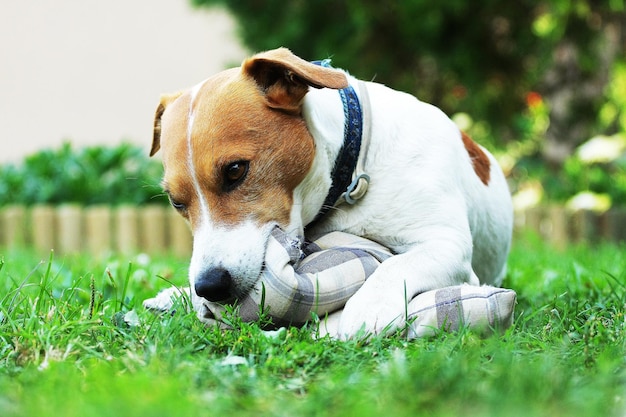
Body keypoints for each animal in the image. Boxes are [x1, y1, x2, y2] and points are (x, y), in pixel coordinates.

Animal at [149, 47, 510, 338]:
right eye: (176, 202)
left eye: (236, 170)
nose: (209, 286)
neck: (354, 169)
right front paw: (182, 294)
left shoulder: (448, 245)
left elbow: (398, 265)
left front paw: (367, 308)